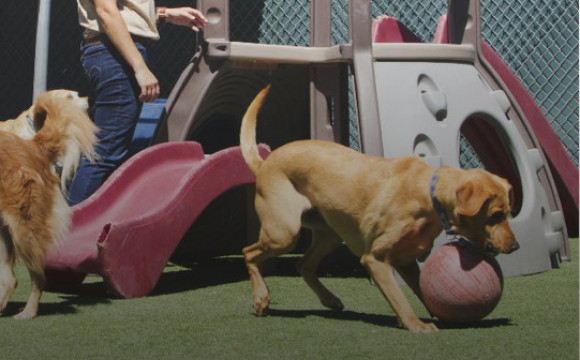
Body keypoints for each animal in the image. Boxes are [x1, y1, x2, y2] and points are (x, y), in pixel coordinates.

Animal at [0, 89, 97, 318]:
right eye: (70, 97)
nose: (89, 99)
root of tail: (33, 145)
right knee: (11, 280)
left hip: (22, 228)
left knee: (36, 278)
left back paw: (28, 312)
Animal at [238, 86, 520, 334]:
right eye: (495, 215)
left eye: (507, 213)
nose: (515, 246)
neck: (428, 194)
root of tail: (264, 163)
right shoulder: (376, 259)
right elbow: (399, 297)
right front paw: (416, 325)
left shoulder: (407, 261)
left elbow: (422, 291)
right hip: (284, 233)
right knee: (249, 253)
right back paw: (261, 298)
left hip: (329, 234)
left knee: (304, 265)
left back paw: (330, 300)